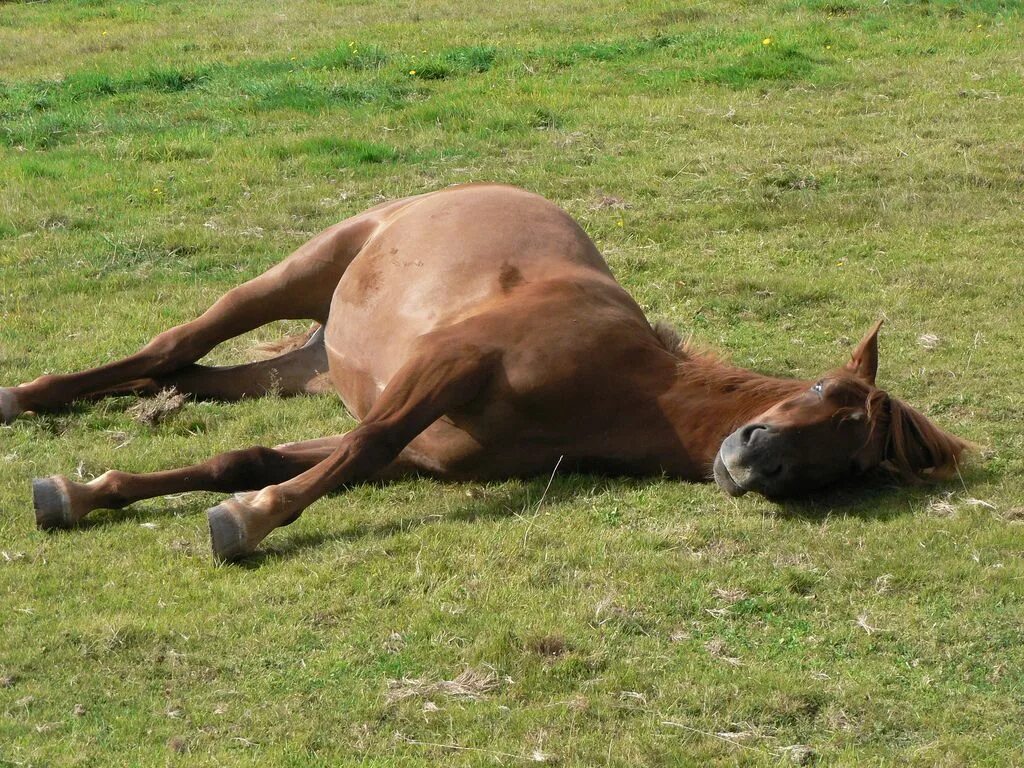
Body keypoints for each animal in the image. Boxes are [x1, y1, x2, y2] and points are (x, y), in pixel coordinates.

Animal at [0, 184, 970, 561]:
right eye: (826, 395)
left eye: (855, 462)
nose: (754, 462)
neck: (627, 389)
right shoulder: (450, 364)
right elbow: (356, 446)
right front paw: (249, 520)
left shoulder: (423, 455)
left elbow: (263, 457)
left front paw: (93, 492)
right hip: (300, 272)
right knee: (174, 343)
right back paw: (26, 396)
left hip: (307, 366)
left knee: (199, 375)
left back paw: (145, 413)